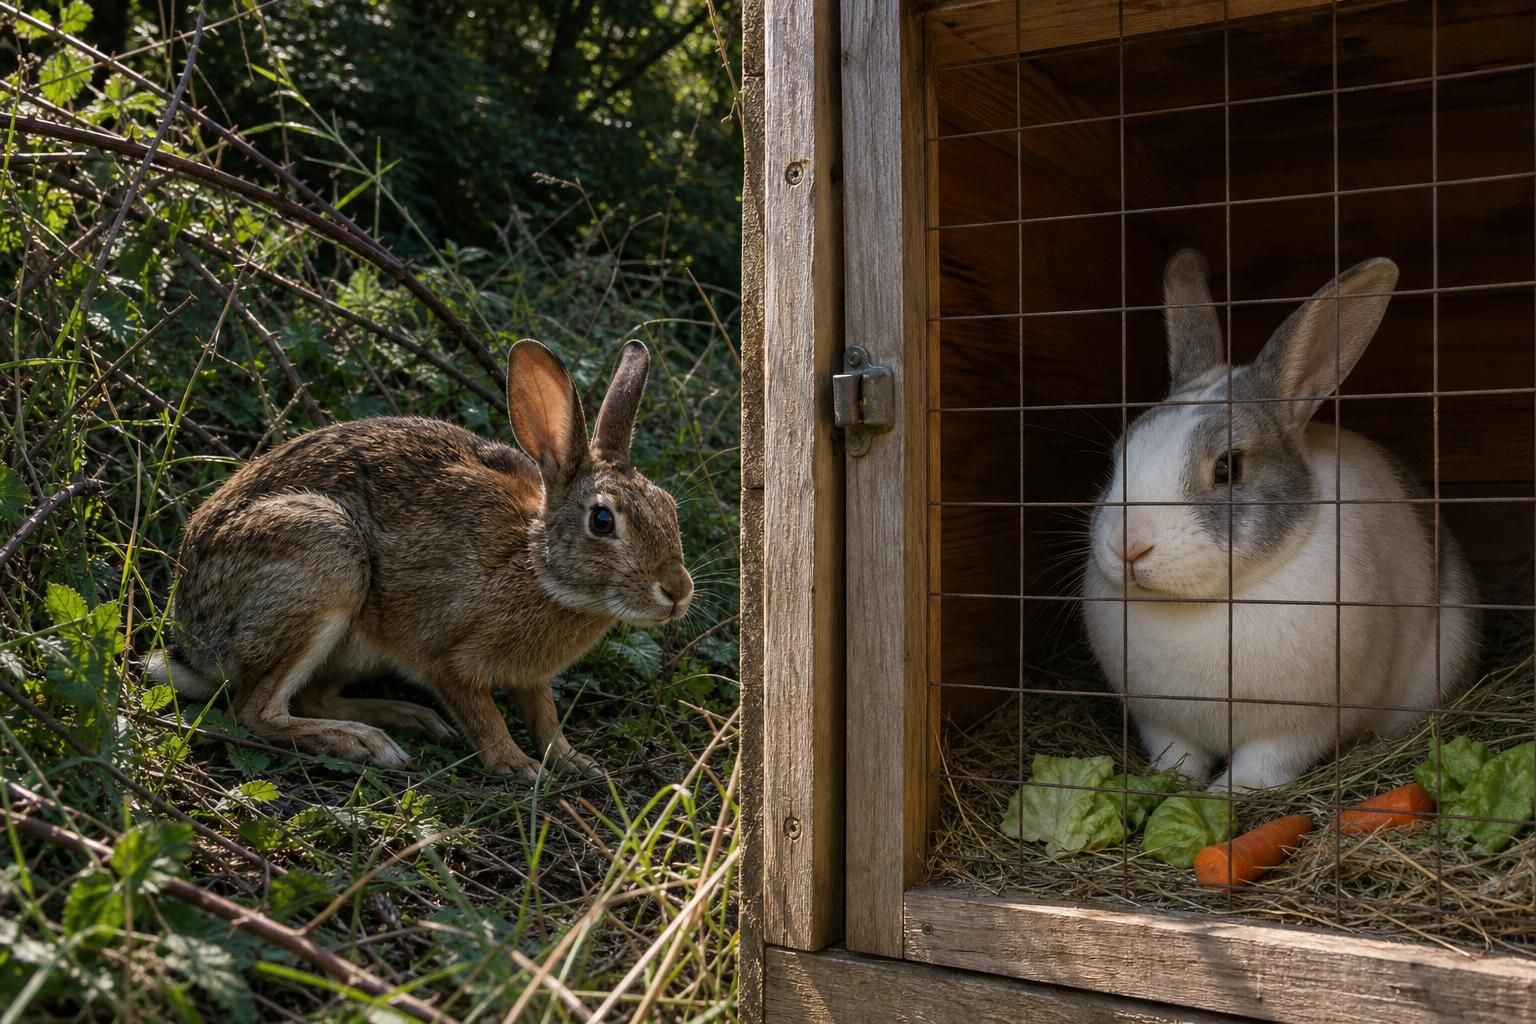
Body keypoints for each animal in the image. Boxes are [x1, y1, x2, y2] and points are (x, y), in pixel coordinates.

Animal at [144, 338, 693, 779]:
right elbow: (484, 714)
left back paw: (411, 719)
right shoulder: (443, 655)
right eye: (602, 521)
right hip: (324, 559)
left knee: (310, 695)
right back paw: (366, 743)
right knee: (254, 710)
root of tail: (193, 638)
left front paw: (574, 761)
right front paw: (517, 764)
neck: (535, 564)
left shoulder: (532, 679)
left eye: (669, 507)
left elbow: (546, 717)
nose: (678, 591)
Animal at [1081, 250, 1480, 792]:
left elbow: (1262, 765)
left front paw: (1225, 794)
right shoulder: (1160, 722)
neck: (1204, 605)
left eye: (1228, 468)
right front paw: (1174, 784)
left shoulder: (1298, 730)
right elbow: (1178, 756)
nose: (1129, 544)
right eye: (1119, 456)